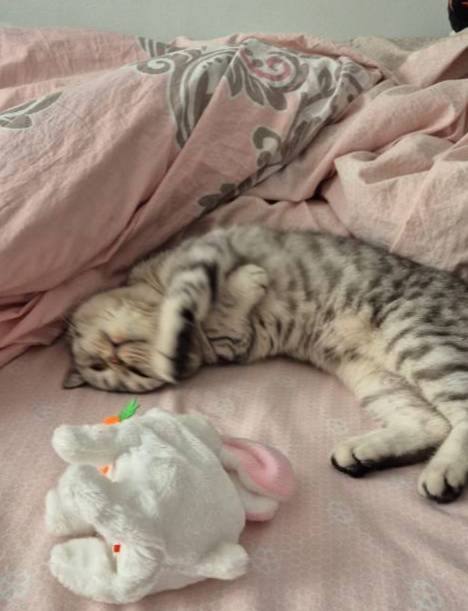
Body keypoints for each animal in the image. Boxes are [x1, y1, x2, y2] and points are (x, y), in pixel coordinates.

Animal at [65, 224, 468, 504]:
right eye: (110, 370)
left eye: (101, 363)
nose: (113, 357)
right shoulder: (238, 342)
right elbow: (223, 320)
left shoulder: (205, 252)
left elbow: (182, 302)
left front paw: (172, 344)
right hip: (375, 376)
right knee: (432, 424)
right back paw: (364, 455)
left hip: (419, 337)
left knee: (460, 414)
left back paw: (443, 471)